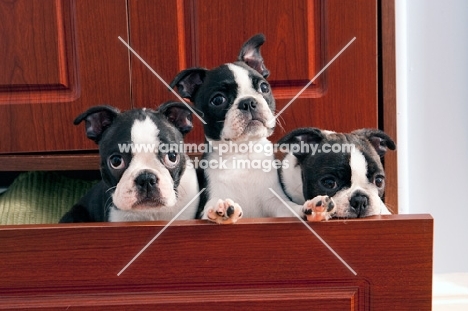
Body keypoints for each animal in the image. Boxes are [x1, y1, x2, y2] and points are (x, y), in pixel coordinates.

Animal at [169, 33, 330, 224]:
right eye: (218, 100)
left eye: (264, 87)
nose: (248, 102)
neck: (243, 154)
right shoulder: (210, 197)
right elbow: (211, 206)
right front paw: (221, 210)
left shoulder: (274, 200)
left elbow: (289, 208)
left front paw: (309, 209)